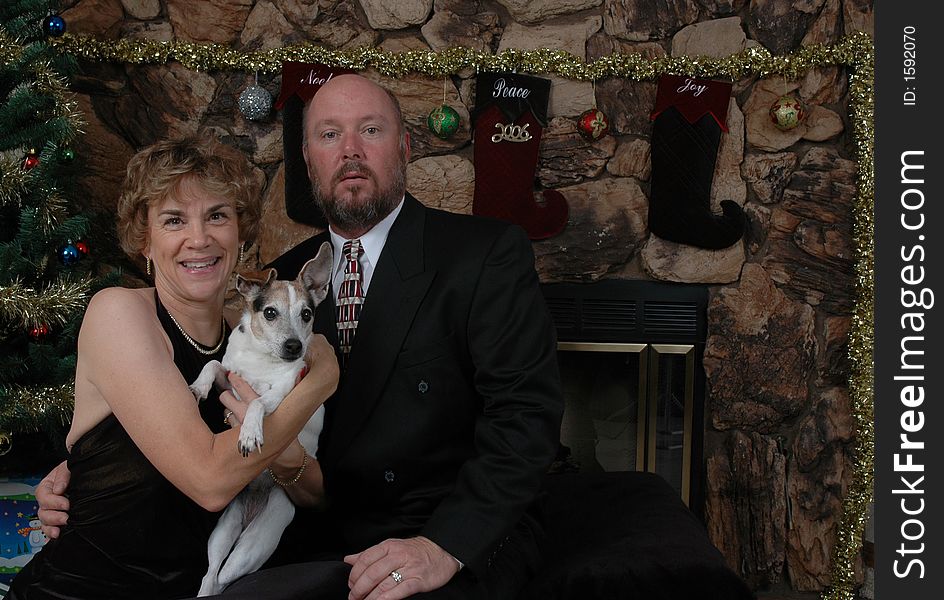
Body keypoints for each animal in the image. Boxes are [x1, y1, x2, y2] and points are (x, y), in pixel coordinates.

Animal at [188, 243, 332, 596]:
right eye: (269, 313)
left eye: (306, 315)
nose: (294, 346)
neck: (261, 359)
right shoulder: (229, 380)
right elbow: (214, 366)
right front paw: (199, 386)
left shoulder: (281, 396)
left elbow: (255, 403)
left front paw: (249, 434)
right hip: (222, 533)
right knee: (210, 575)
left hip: (253, 546)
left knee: (224, 578)